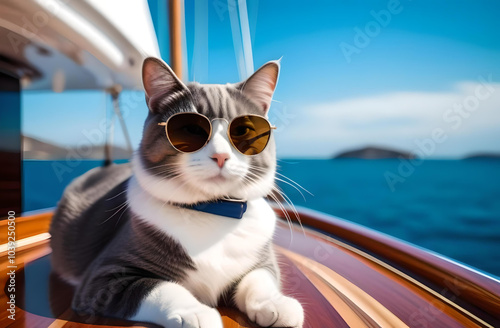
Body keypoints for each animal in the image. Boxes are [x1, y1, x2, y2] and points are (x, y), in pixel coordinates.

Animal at [49, 57, 304, 326]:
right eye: (191, 129)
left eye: (242, 130)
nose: (221, 155)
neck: (214, 212)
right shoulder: (104, 277)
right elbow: (158, 287)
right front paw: (196, 312)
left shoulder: (261, 257)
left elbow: (260, 277)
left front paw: (275, 303)